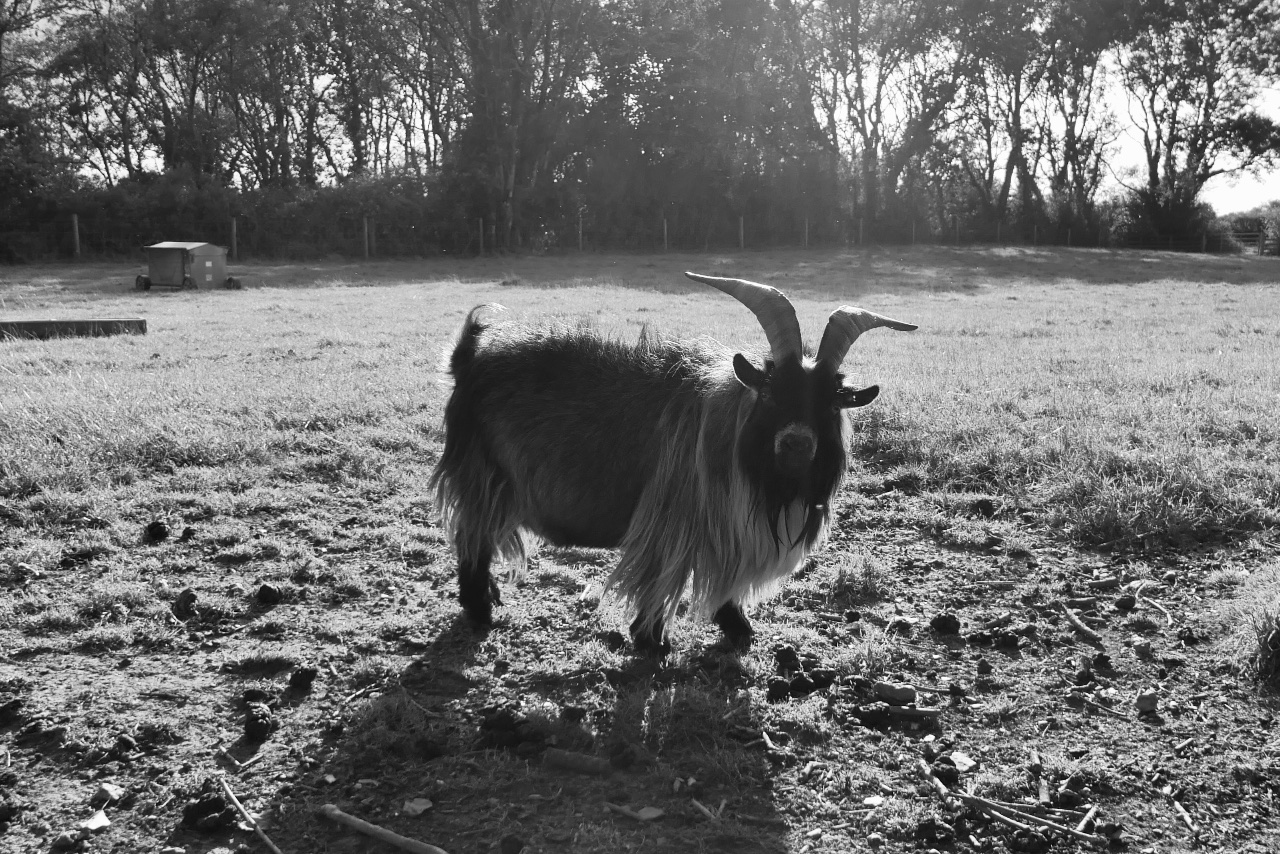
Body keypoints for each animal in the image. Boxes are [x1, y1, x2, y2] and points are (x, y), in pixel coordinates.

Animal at [430, 272, 916, 653]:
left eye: (831, 404)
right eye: (770, 392)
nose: (796, 444)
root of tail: (468, 358)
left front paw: (737, 629)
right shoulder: (674, 521)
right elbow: (666, 579)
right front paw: (652, 639)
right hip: (483, 476)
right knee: (472, 542)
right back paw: (479, 611)